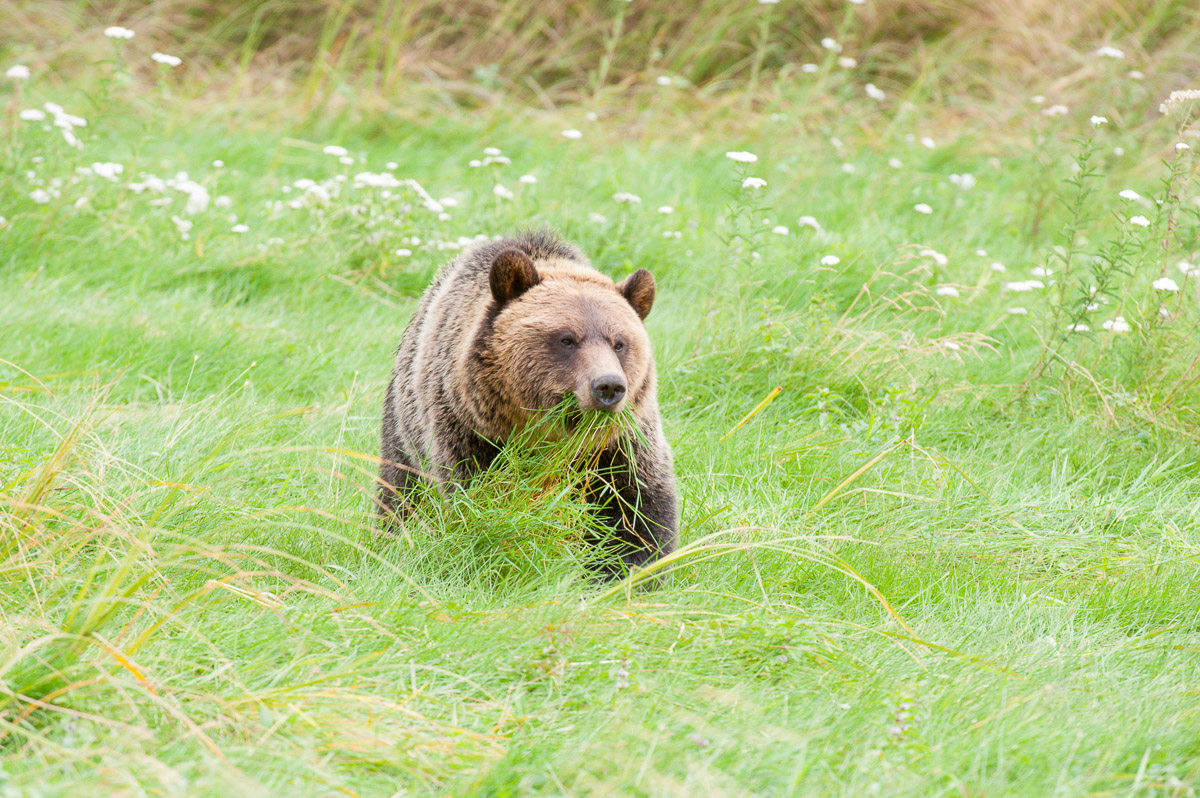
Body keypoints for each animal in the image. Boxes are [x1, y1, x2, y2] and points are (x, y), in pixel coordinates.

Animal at [376, 226, 676, 576]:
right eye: (566, 339)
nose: (608, 386)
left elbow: (635, 509)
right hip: (405, 424)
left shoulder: (618, 444)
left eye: (619, 343)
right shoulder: (469, 430)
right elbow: (481, 503)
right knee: (402, 490)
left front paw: (627, 571)